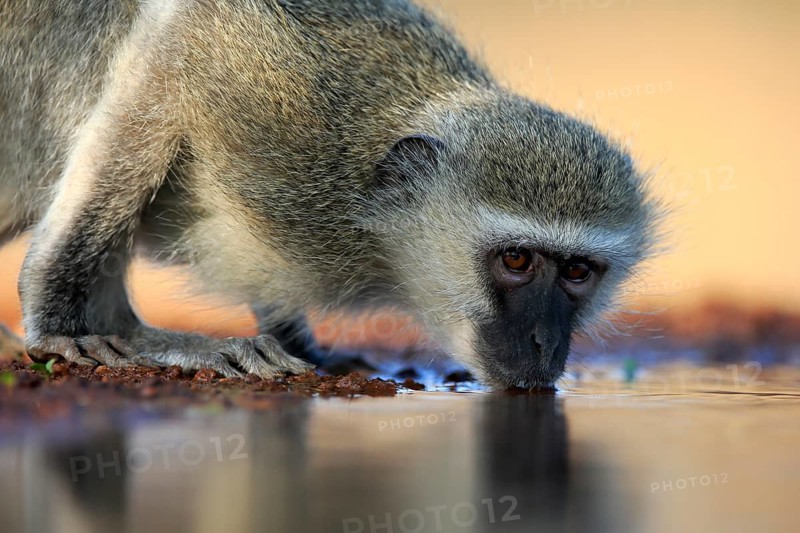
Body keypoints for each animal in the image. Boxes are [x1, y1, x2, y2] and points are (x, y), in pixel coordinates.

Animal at [0, 0, 657, 389]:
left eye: (577, 272)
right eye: (517, 260)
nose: (545, 343)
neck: (373, 226)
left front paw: (305, 343)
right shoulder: (290, 114)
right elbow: (182, 33)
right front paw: (55, 316)